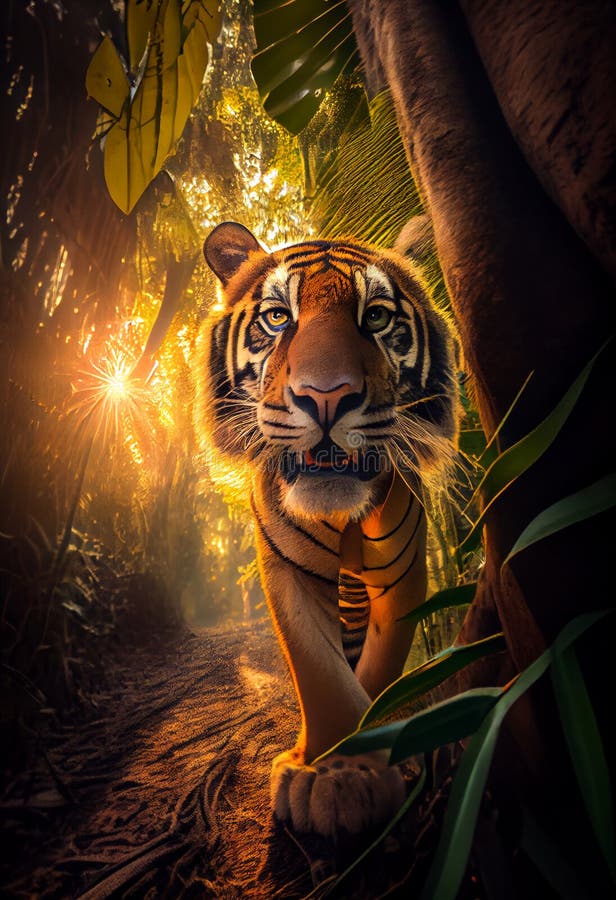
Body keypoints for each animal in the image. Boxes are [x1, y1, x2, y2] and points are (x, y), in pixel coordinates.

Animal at [196, 221, 458, 838]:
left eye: (377, 316)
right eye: (277, 317)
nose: (326, 397)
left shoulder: (402, 578)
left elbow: (377, 671)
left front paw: (359, 762)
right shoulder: (288, 569)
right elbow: (319, 669)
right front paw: (331, 776)